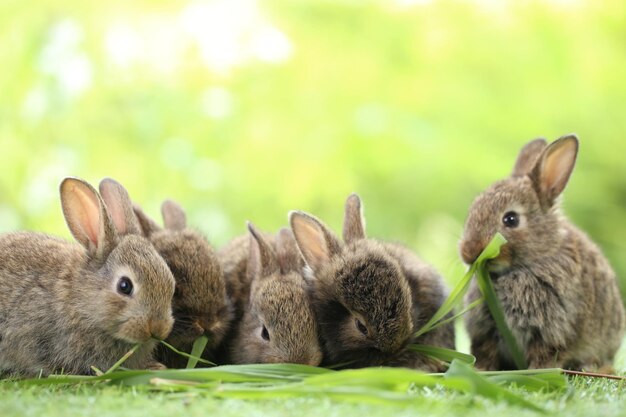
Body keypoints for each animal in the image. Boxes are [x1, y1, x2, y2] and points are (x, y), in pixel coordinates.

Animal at [458, 134, 624, 370]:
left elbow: (545, 356)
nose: (468, 253)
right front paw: (480, 369)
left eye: (511, 219)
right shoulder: (484, 331)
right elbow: (485, 352)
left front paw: (535, 373)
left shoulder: (553, 330)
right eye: (473, 210)